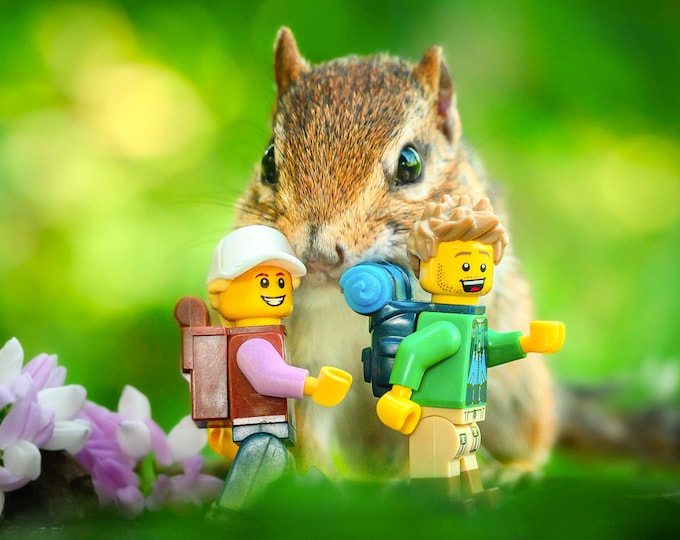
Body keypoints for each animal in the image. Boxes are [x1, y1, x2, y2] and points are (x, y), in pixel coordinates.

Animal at [233, 27, 556, 481]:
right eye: (267, 162)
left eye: (410, 163)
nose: (317, 254)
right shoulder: (306, 354)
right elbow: (309, 422)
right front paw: (314, 478)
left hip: (519, 394)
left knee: (531, 435)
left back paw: (514, 469)